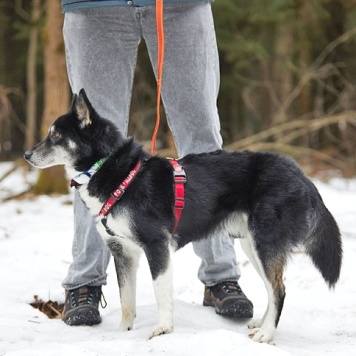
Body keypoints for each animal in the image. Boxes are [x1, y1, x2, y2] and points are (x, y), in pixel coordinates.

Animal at [25, 88, 342, 342]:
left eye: (56, 135)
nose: (27, 155)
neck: (114, 172)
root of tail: (301, 174)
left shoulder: (156, 246)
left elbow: (161, 293)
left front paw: (164, 329)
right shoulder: (122, 251)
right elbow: (127, 300)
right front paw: (122, 335)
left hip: (265, 243)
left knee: (279, 290)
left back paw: (266, 334)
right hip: (253, 245)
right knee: (272, 287)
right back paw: (262, 325)